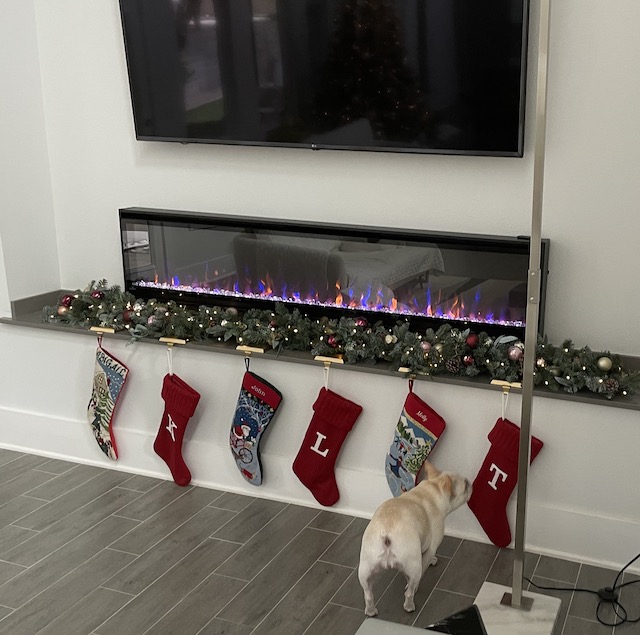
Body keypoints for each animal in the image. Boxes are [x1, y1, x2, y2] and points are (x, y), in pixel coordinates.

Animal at [358, 461, 472, 616]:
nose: (470, 482)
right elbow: (424, 564)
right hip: (414, 566)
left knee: (368, 594)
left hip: (365, 569)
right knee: (409, 592)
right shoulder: (431, 547)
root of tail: (386, 534)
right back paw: (409, 605)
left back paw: (370, 611)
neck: (433, 489)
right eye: (465, 486)